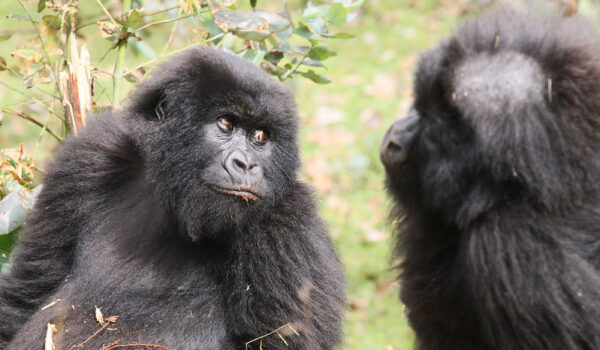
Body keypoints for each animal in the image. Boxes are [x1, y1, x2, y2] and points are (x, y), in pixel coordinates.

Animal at [0, 47, 344, 350]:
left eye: (260, 136)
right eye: (226, 123)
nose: (246, 165)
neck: (169, 194)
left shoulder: (289, 221)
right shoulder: (87, 156)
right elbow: (26, 292)